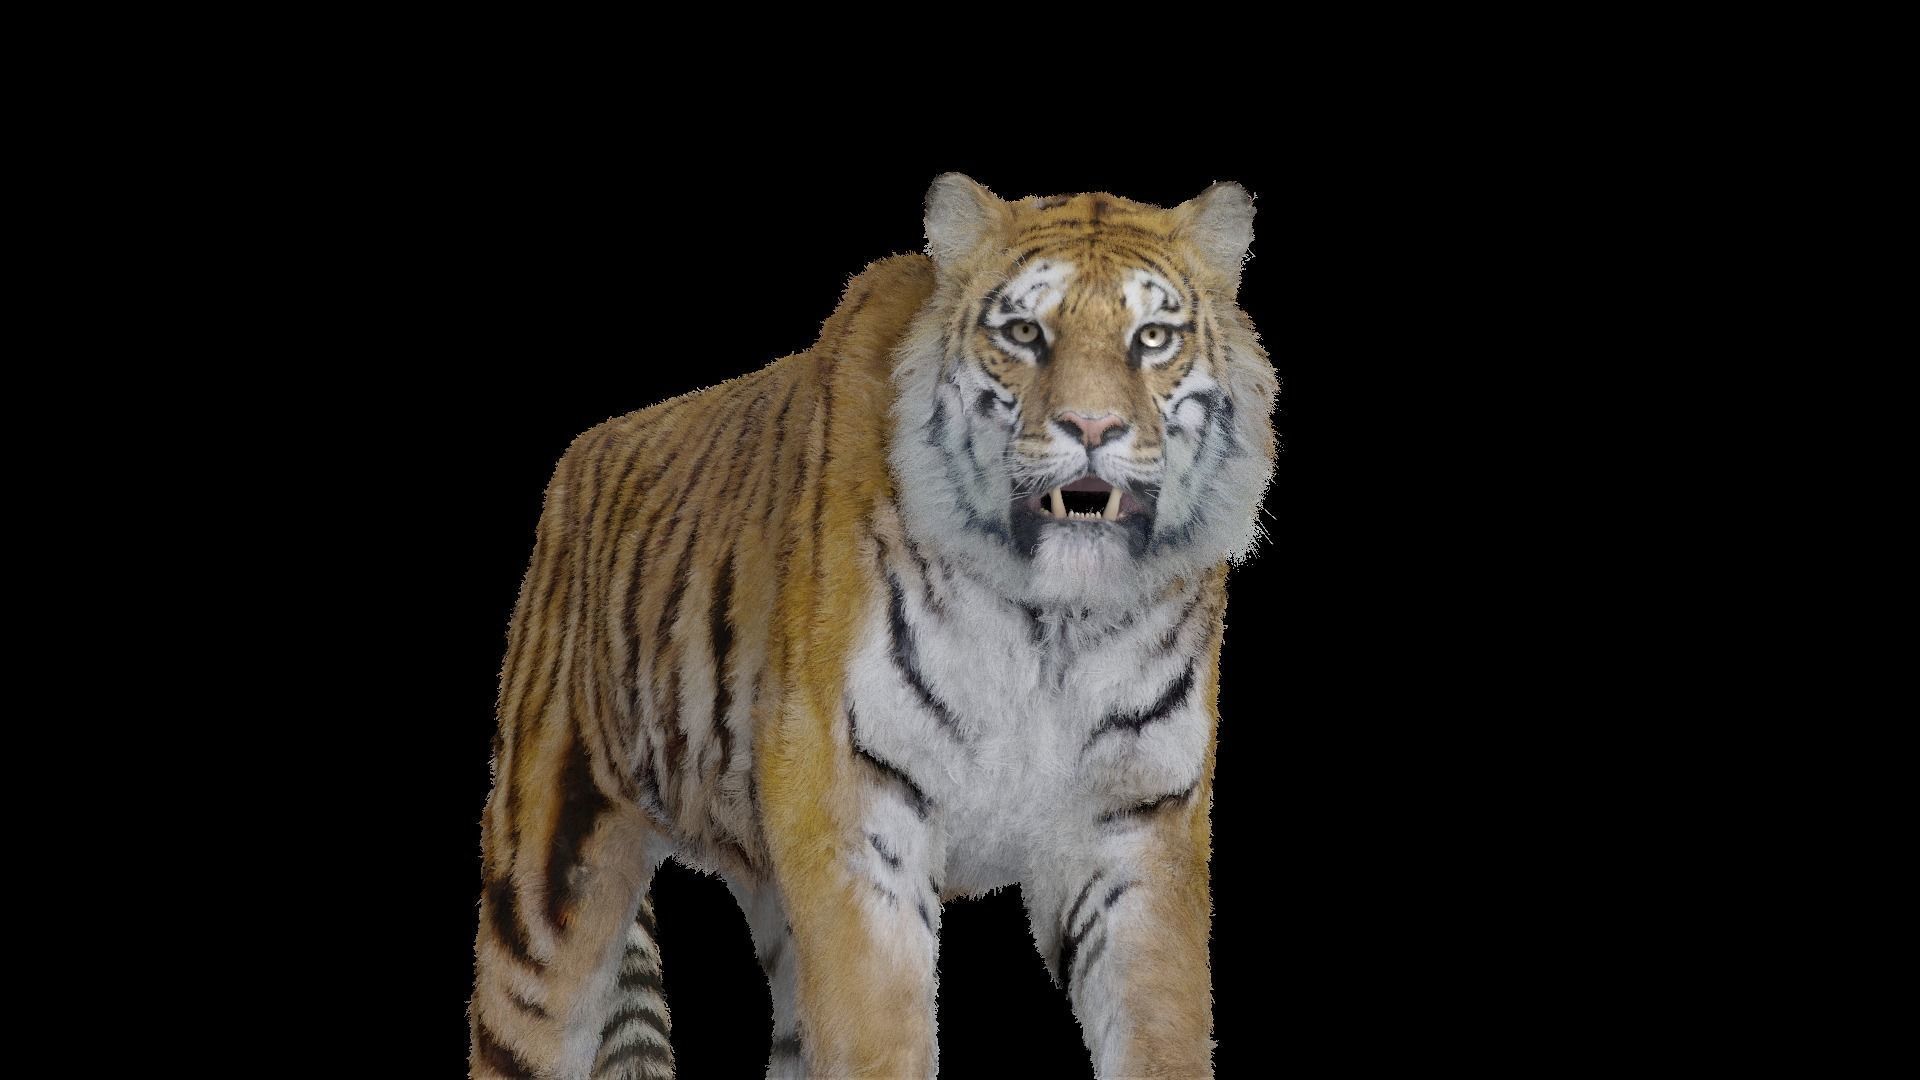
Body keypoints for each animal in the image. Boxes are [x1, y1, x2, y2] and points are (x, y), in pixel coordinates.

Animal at [470, 174, 1278, 1079]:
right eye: (1025, 333)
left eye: (1152, 338)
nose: (1093, 428)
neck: (1053, 623)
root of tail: (583, 454)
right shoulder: (855, 812)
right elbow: (878, 1031)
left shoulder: (1134, 823)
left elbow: (1159, 1027)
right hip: (543, 905)